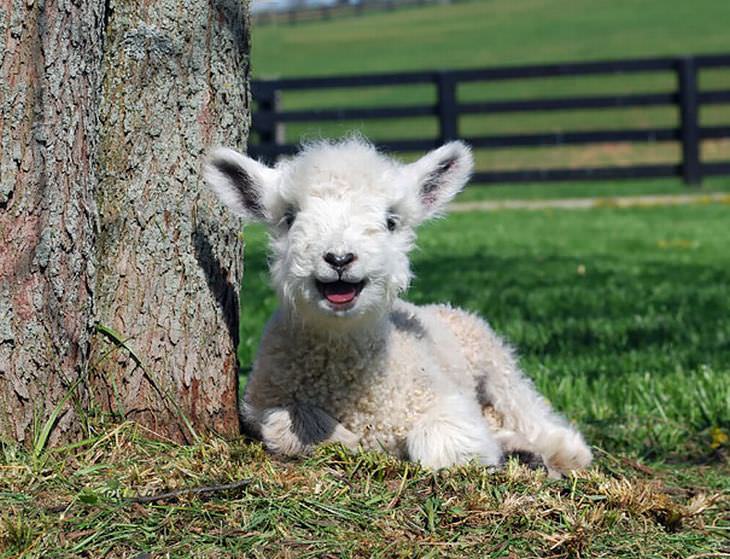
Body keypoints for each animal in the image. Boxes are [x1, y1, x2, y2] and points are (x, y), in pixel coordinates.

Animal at [202, 138, 588, 474]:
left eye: (391, 221)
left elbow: (447, 442)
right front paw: (342, 440)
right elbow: (288, 425)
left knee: (530, 413)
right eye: (289, 218)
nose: (339, 258)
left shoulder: (442, 400)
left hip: (495, 364)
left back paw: (559, 450)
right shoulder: (261, 403)